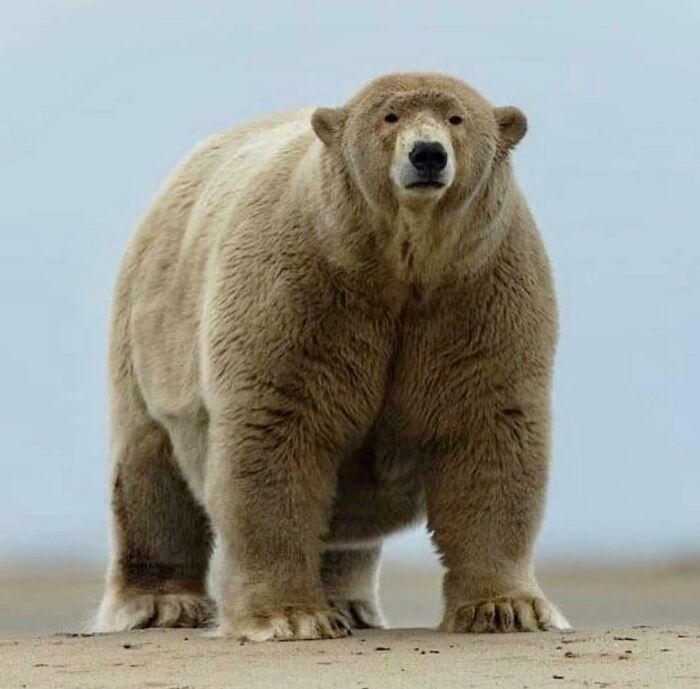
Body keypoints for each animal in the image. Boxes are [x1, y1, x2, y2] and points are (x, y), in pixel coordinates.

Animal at [95, 72, 570, 640]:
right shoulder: (301, 287)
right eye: (389, 117)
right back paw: (162, 604)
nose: (428, 154)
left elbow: (488, 430)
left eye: (457, 118)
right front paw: (290, 617)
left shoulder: (479, 292)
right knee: (149, 468)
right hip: (149, 333)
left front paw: (507, 609)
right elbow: (278, 431)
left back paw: (350, 602)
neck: (399, 267)